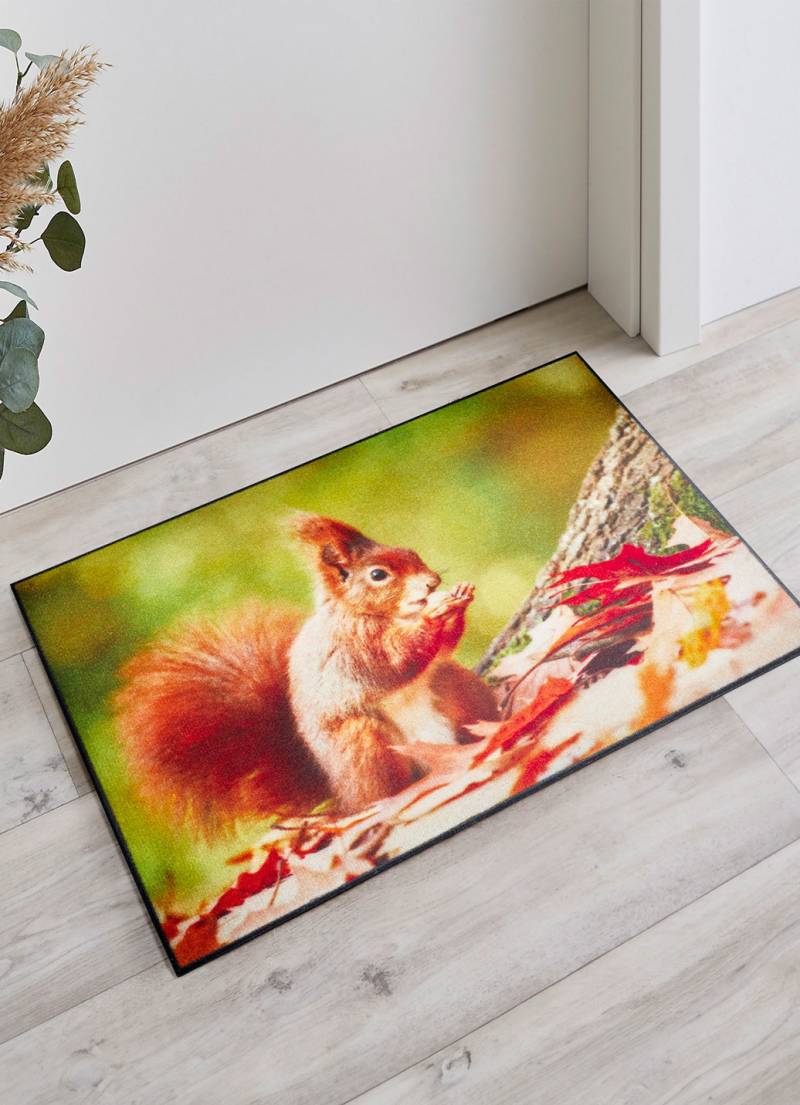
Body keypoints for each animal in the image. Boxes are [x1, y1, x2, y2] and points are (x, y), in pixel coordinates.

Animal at [114, 513, 498, 834]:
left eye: (412, 552)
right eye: (378, 575)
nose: (433, 583)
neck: (383, 614)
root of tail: (340, 792)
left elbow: (442, 651)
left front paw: (458, 600)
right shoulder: (353, 646)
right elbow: (394, 660)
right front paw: (435, 614)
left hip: (455, 688)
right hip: (362, 746)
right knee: (375, 794)